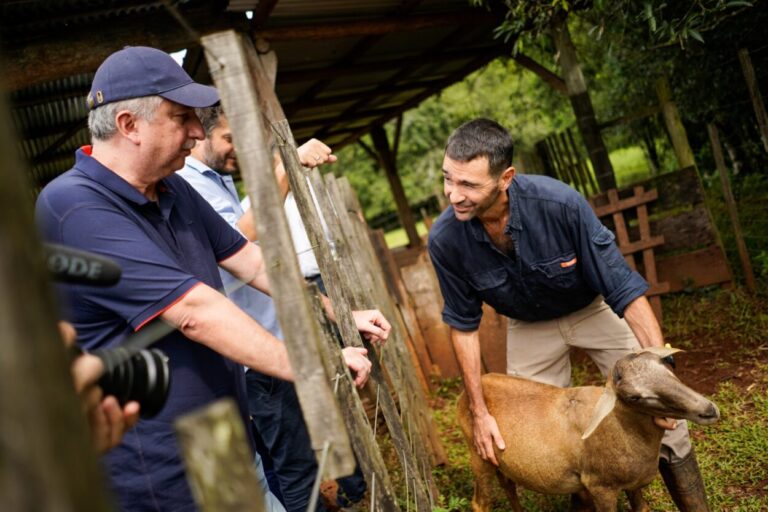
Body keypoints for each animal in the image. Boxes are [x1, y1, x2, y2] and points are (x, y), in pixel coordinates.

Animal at [460, 346, 724, 510]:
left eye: (668, 364)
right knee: (480, 503)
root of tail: (469, 391)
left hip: (501, 462)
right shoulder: (601, 487)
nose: (708, 410)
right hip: (479, 455)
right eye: (634, 397)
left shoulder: (632, 485)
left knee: (509, 486)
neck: (621, 428)